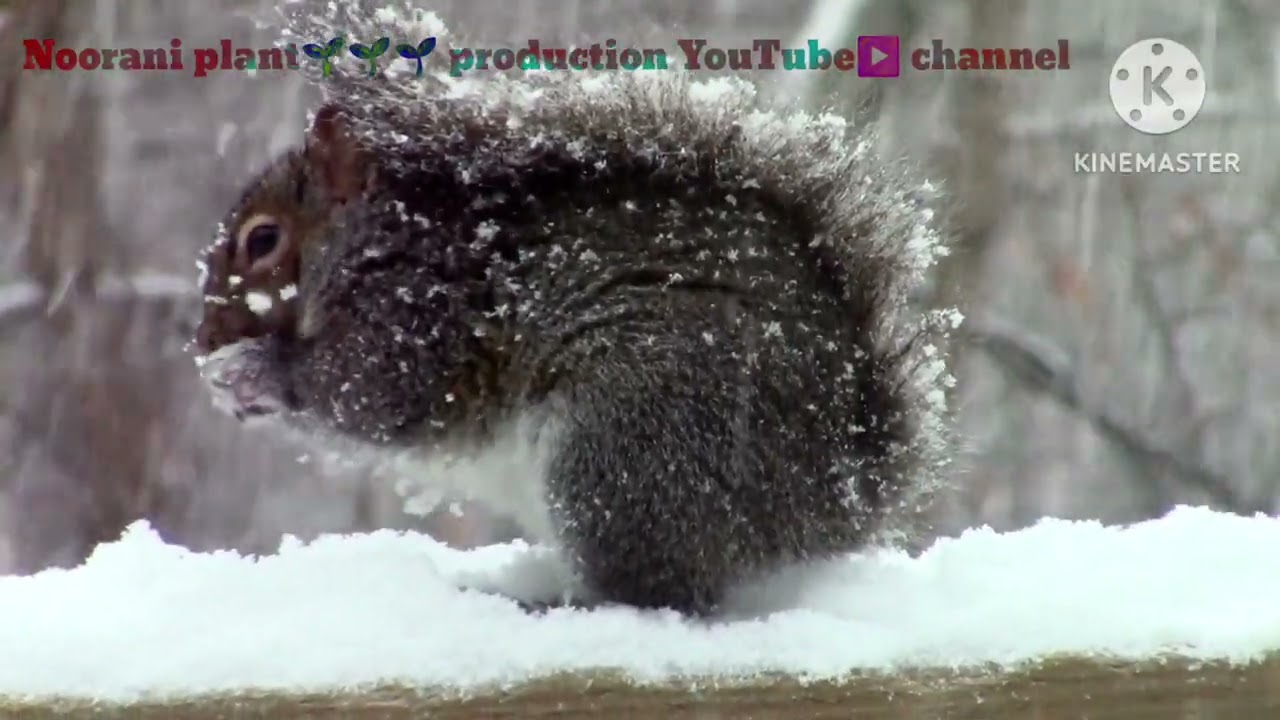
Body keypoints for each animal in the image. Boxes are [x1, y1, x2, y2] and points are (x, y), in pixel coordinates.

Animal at [193, 70, 952, 616]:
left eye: (263, 240)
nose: (204, 342)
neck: (377, 240)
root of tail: (835, 498)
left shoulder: (422, 315)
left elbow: (372, 393)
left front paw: (252, 371)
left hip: (629, 440)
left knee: (653, 597)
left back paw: (541, 601)